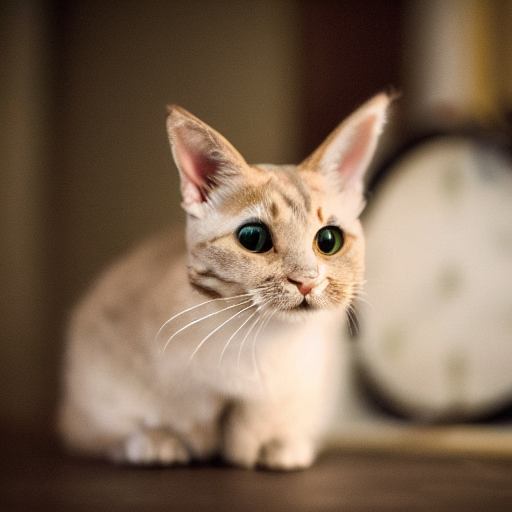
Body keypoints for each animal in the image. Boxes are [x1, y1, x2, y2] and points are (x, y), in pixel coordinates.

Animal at [58, 92, 390, 468]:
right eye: (253, 238)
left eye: (329, 240)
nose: (306, 280)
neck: (259, 343)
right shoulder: (115, 375)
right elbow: (167, 416)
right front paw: (169, 440)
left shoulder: (299, 385)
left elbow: (258, 420)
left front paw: (275, 445)